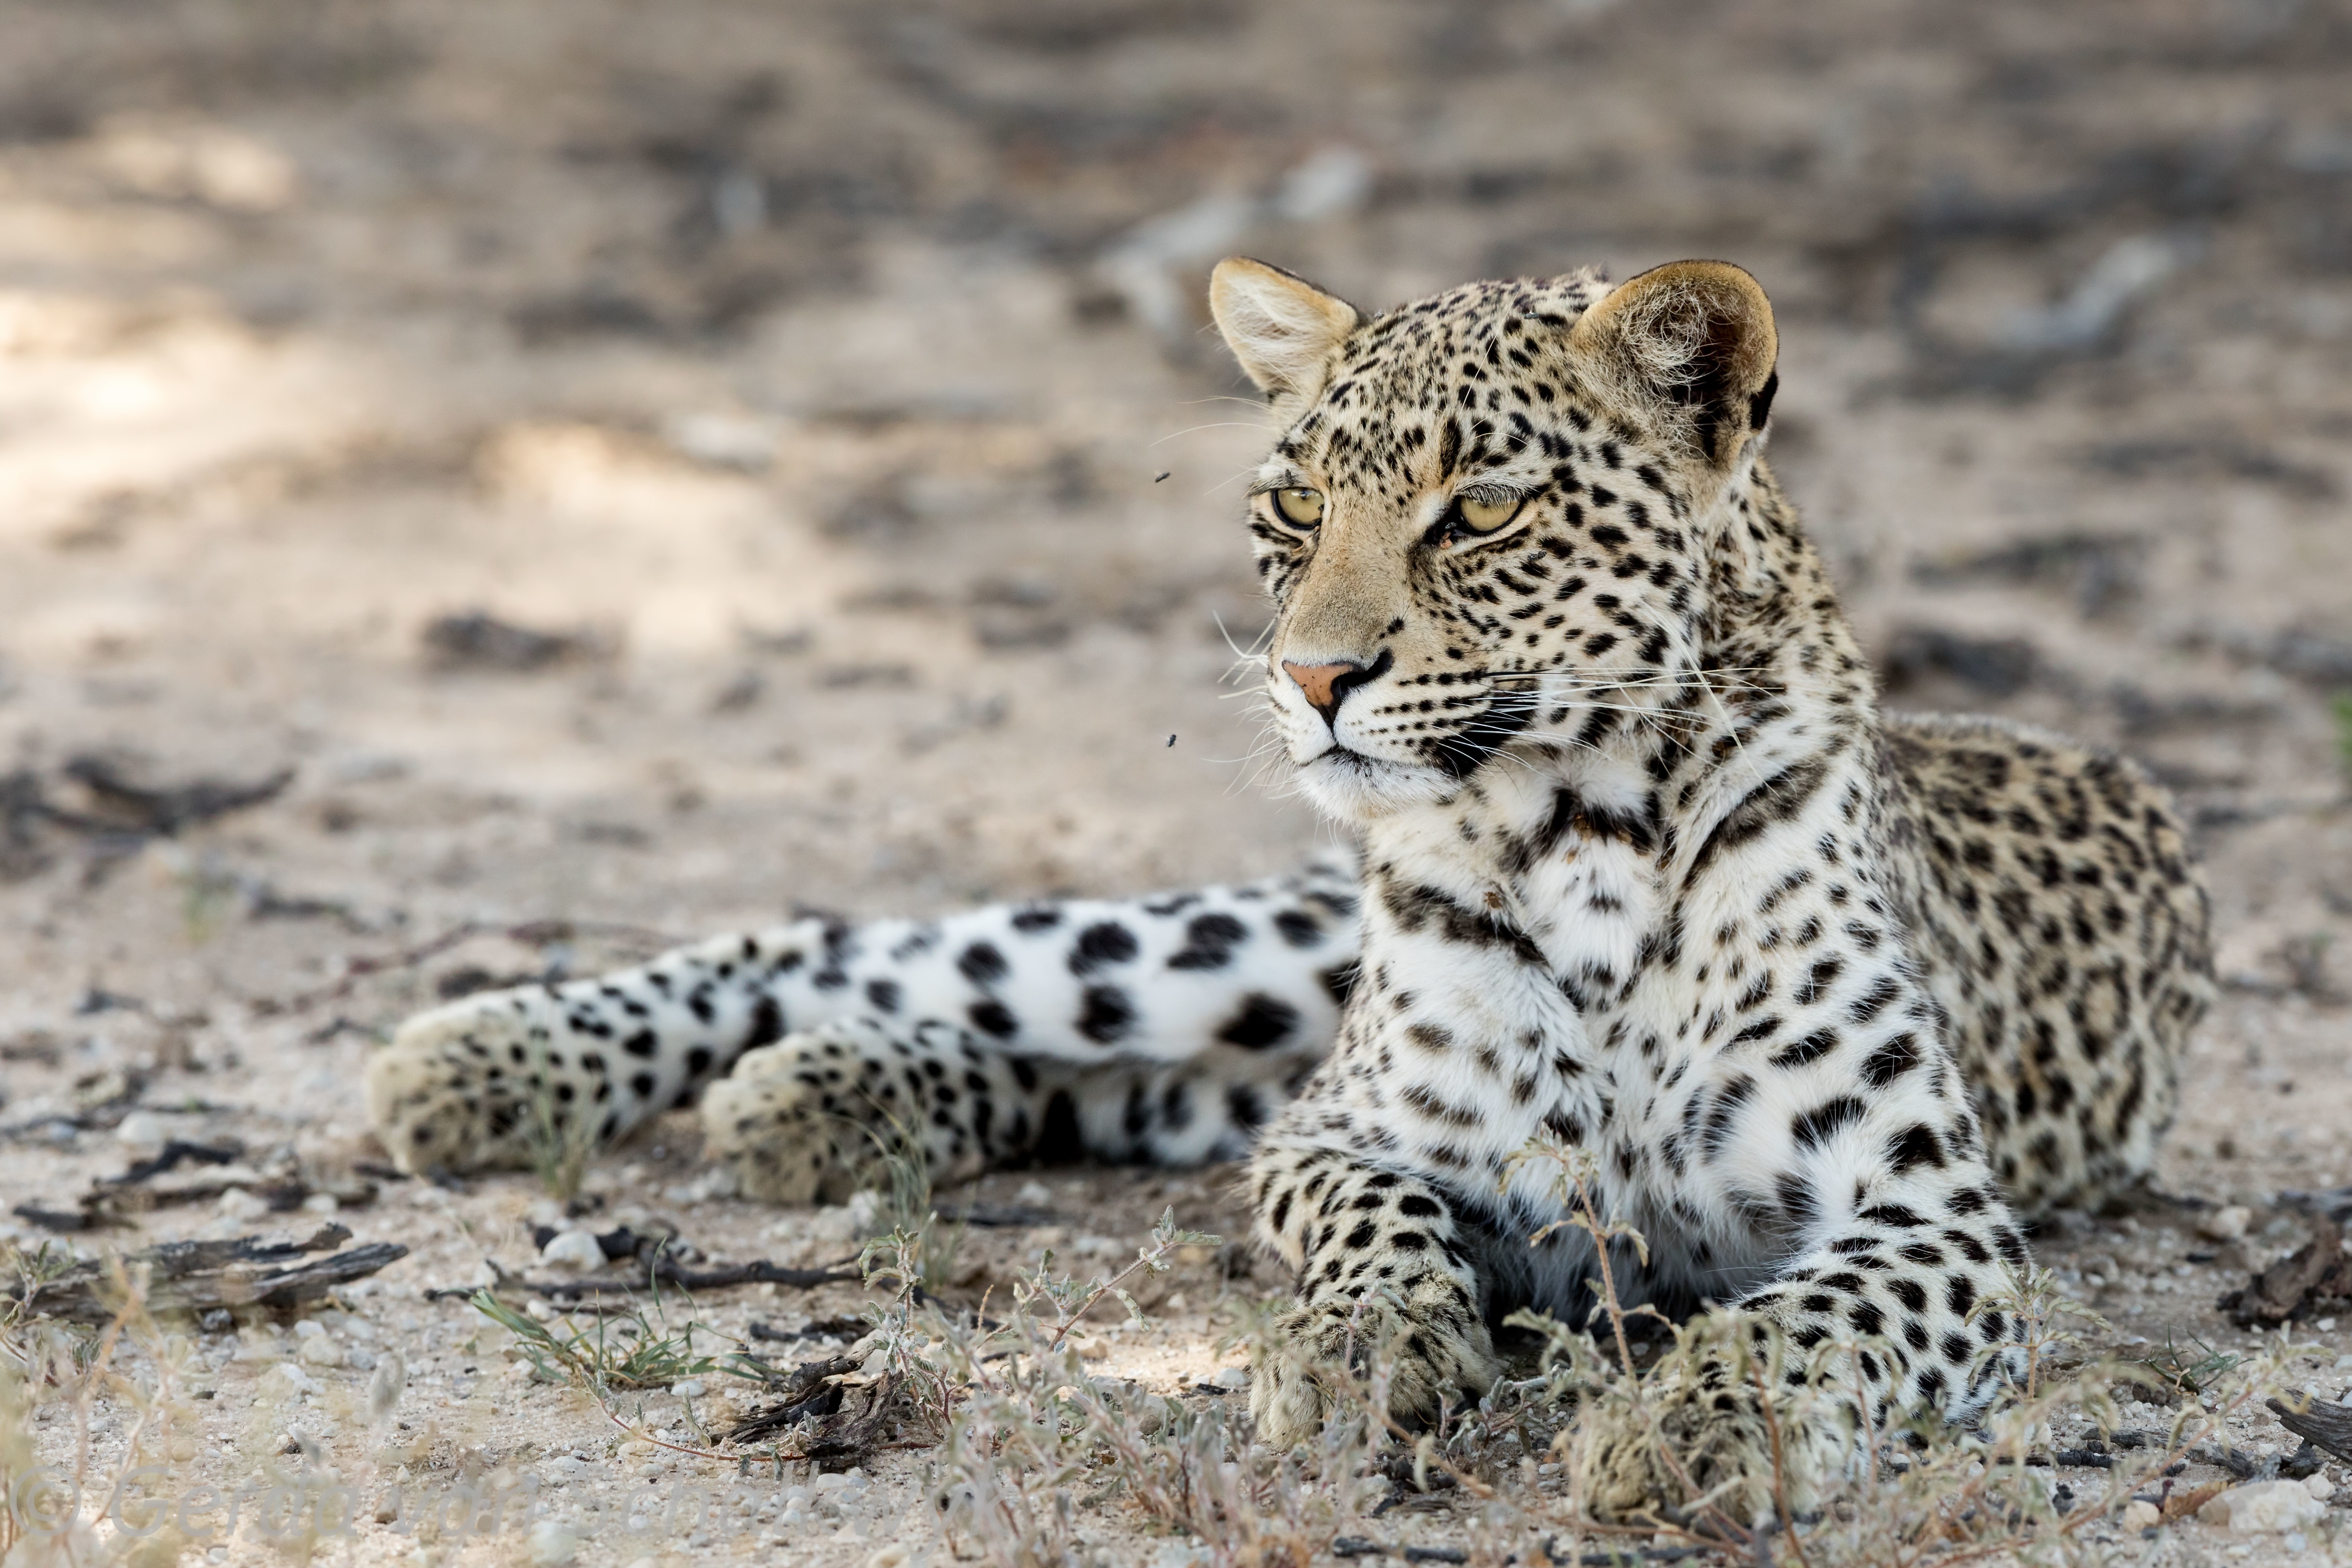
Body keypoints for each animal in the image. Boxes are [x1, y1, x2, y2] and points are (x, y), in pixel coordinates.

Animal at [362, 255, 2201, 1523]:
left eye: (1484, 509)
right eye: (1297, 500)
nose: (1313, 678)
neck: (1581, 834)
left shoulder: (1932, 1216)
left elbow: (1805, 1319)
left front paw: (1692, 1423)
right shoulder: (1355, 1134)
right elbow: (1373, 1229)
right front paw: (1353, 1355)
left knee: (1109, 1077)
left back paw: (818, 1100)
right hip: (1239, 953)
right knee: (870, 944)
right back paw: (488, 1061)